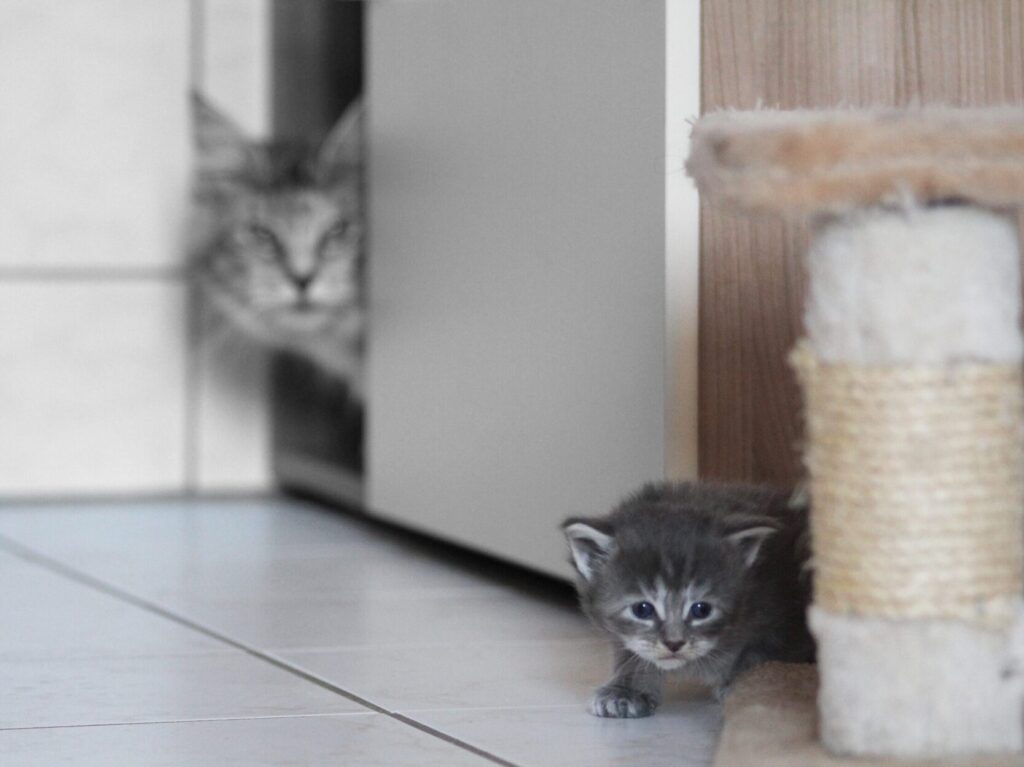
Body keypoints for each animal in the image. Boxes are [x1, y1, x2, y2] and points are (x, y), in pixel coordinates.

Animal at [565, 481, 811, 716]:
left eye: (701, 610)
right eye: (642, 609)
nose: (674, 643)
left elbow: (761, 654)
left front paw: (738, 685)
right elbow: (631, 652)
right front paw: (626, 690)